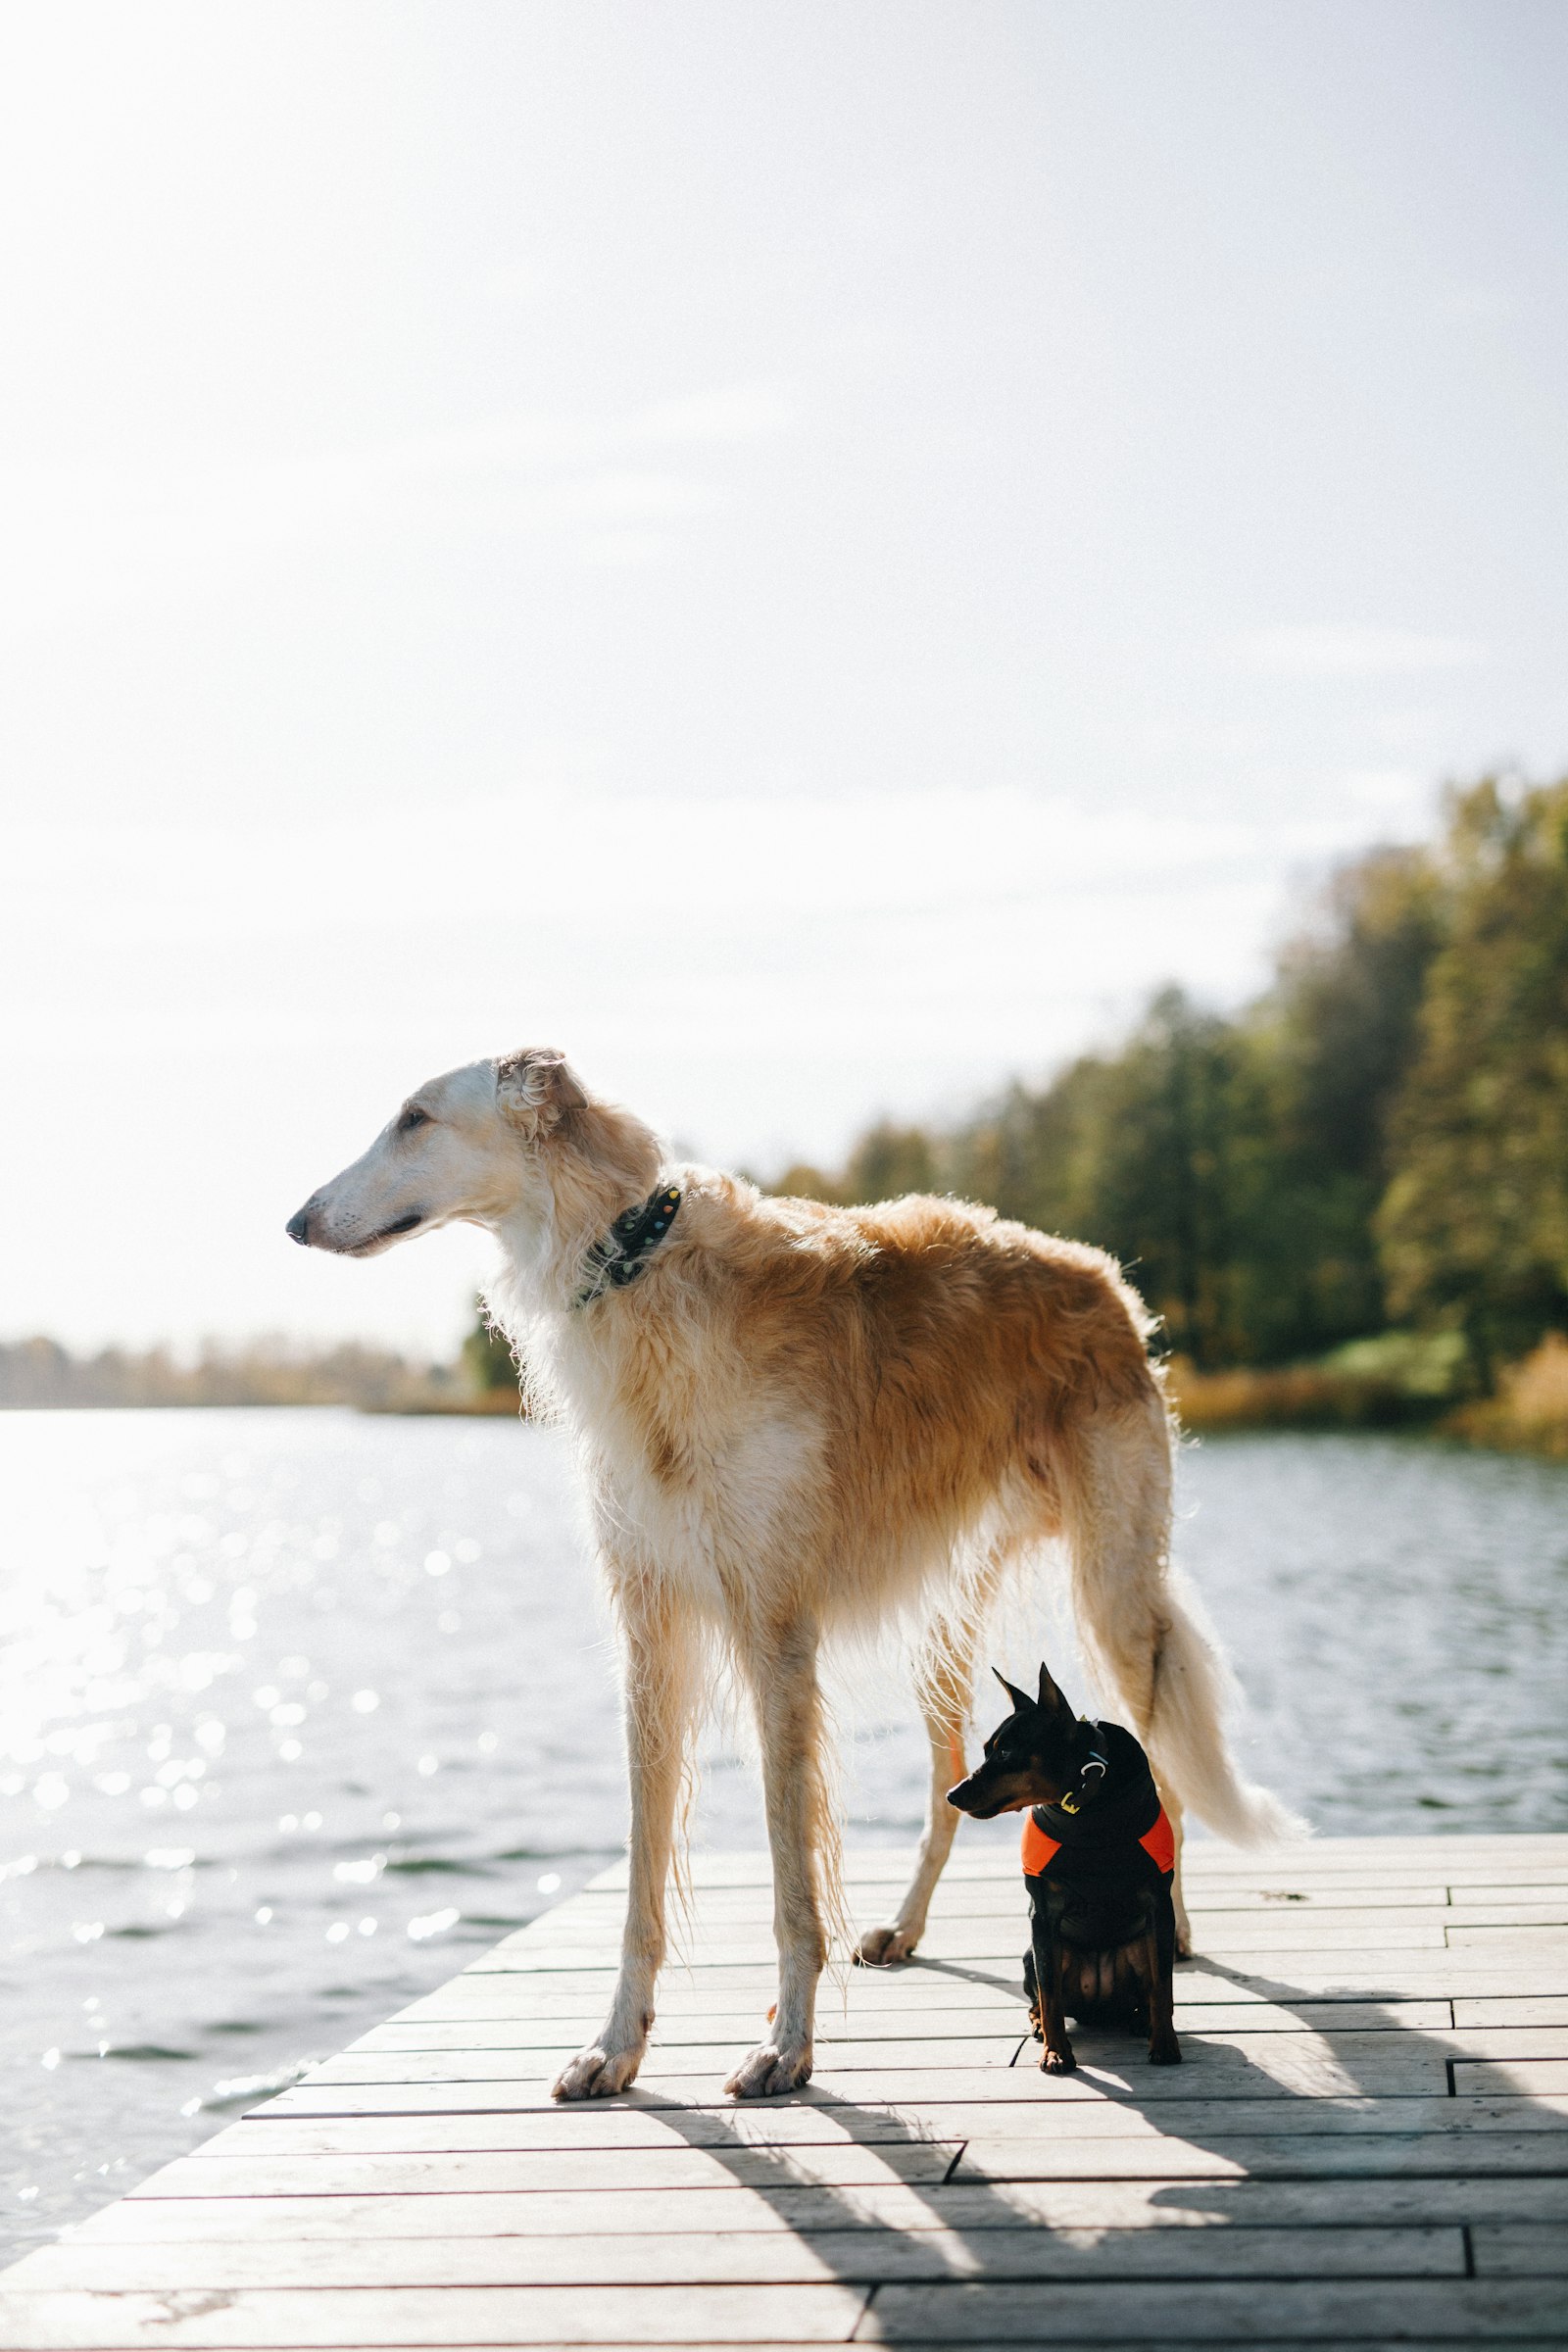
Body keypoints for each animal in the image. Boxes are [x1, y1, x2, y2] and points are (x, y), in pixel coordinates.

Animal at [945, 1655, 1175, 2079]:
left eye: (1005, 1753)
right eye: (986, 1750)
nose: (952, 1794)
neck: (1088, 1805)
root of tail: (1100, 2009)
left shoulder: (1159, 1906)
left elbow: (1163, 1985)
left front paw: (1165, 2044)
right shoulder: (1043, 1915)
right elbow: (1050, 1995)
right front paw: (1056, 2054)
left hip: (1137, 1946)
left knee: (1148, 1987)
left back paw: (1142, 2020)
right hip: (1033, 1953)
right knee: (1041, 1997)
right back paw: (1038, 2025)